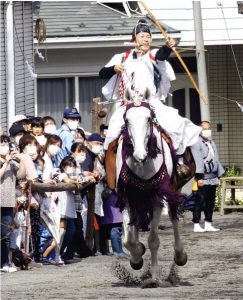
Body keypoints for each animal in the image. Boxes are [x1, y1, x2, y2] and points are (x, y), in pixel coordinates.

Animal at [115, 98, 187, 286]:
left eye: (148, 119)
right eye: (127, 120)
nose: (139, 154)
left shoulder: (157, 198)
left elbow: (153, 240)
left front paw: (154, 277)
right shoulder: (129, 196)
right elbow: (127, 240)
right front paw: (137, 255)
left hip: (173, 189)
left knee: (173, 216)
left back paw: (180, 255)